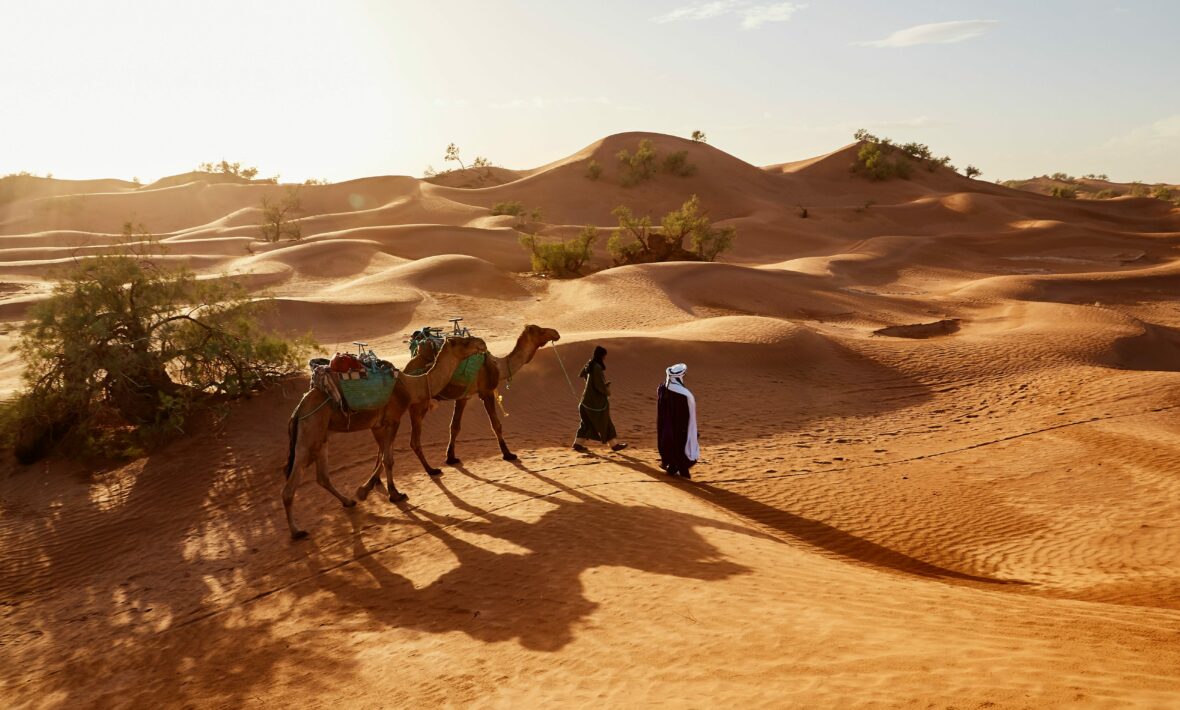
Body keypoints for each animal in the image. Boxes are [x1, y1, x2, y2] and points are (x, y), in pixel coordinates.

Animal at [405, 323, 561, 471]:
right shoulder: (487, 392)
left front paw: (451, 458)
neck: (499, 366)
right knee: (414, 439)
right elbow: (496, 424)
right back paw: (430, 470)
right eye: (541, 331)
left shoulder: (463, 397)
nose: (556, 333)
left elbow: (454, 426)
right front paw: (508, 454)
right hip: (419, 403)